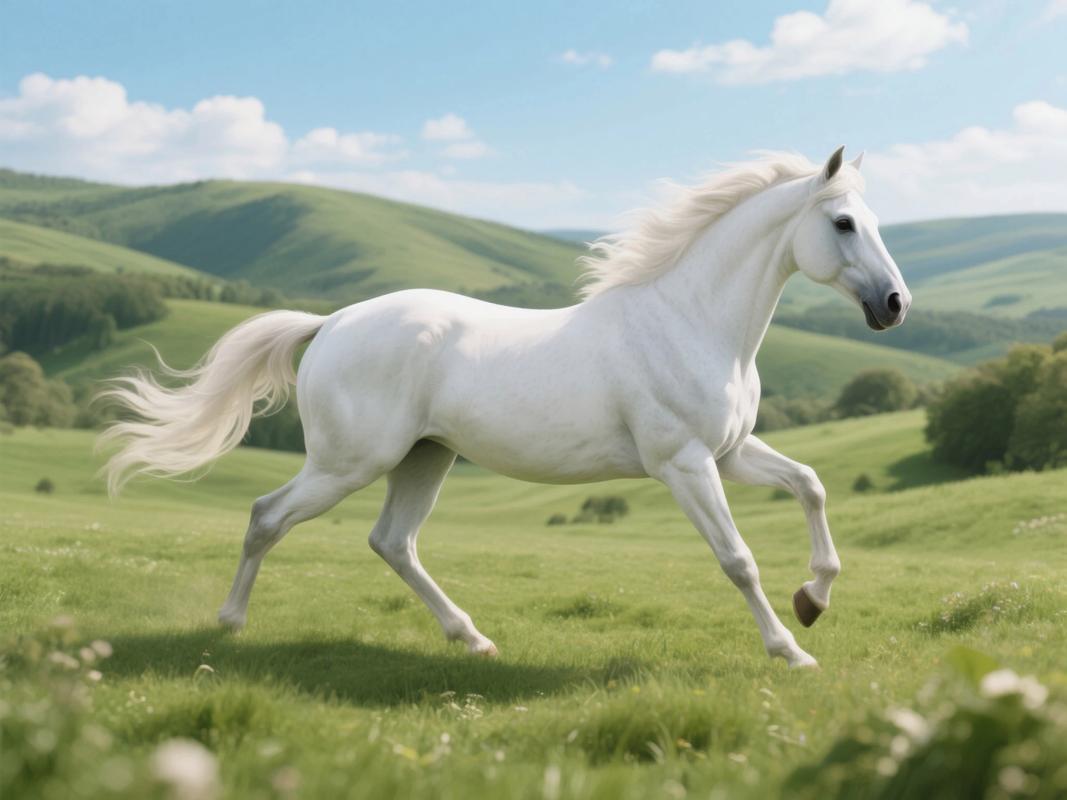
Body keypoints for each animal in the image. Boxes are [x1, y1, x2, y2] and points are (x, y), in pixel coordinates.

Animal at [99, 147, 910, 668]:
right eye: (843, 223)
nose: (895, 304)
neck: (689, 320)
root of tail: (330, 324)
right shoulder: (684, 464)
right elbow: (737, 558)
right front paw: (791, 649)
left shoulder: (730, 453)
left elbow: (811, 484)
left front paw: (813, 598)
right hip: (348, 462)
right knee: (268, 516)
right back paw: (230, 624)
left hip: (424, 458)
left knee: (392, 542)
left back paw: (473, 639)